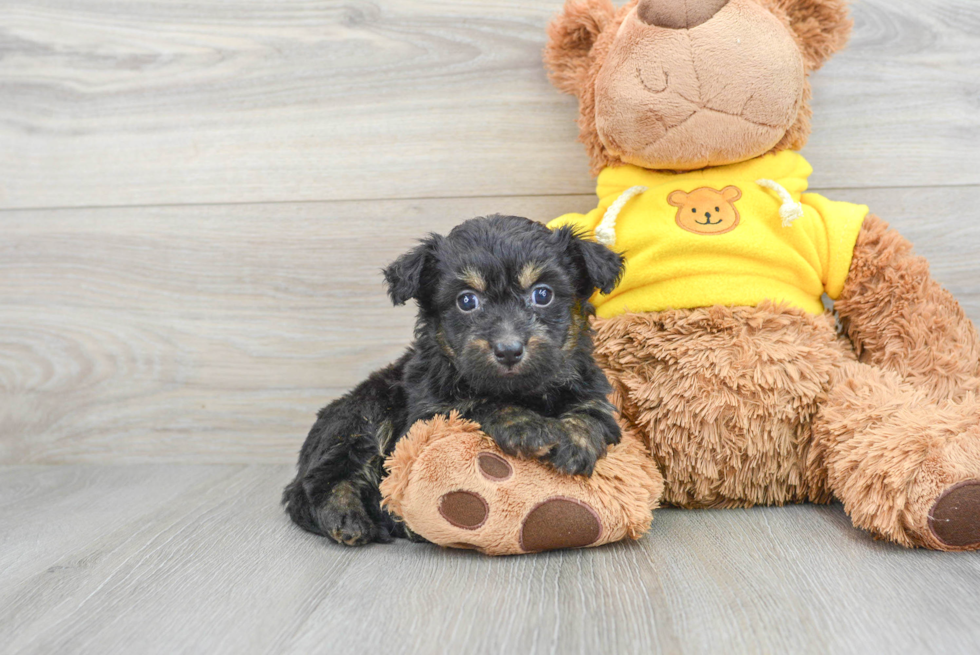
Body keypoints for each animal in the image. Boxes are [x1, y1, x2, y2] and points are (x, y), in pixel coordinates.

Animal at [280, 214, 624, 544]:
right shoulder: (429, 413)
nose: (508, 350)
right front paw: (527, 426)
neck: (522, 391)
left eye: (543, 295)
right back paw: (348, 519)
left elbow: (590, 415)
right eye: (467, 301)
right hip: (362, 415)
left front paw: (575, 443)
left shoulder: (592, 393)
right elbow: (481, 403)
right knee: (324, 479)